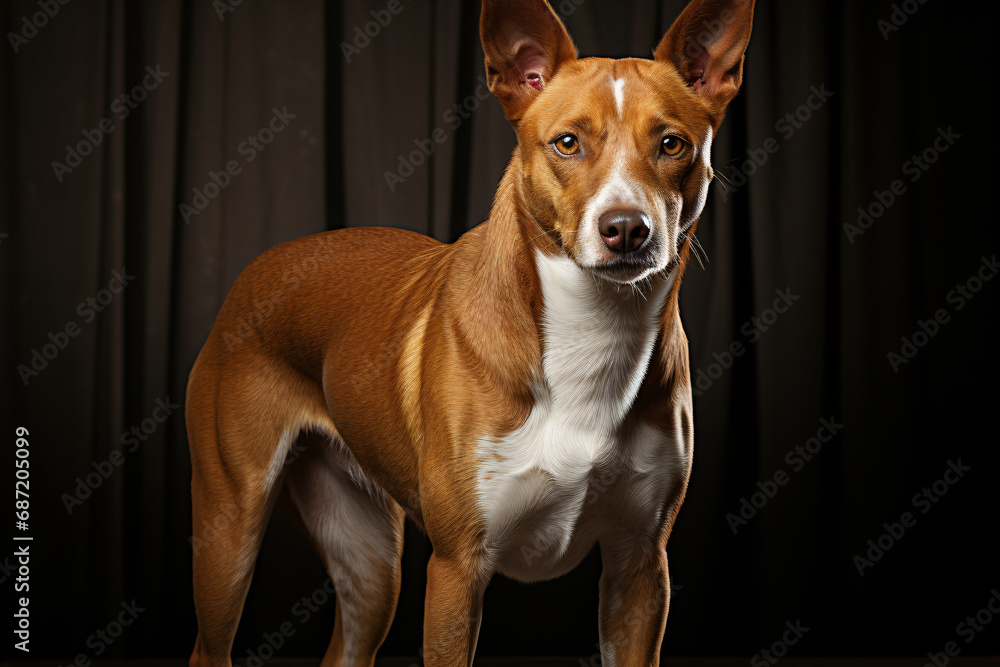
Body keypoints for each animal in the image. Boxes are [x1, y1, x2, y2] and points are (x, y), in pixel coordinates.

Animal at [186, 1, 752, 667]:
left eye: (671, 144)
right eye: (567, 143)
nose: (626, 229)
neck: (592, 333)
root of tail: (262, 266)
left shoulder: (640, 568)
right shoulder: (458, 568)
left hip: (371, 562)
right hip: (231, 527)